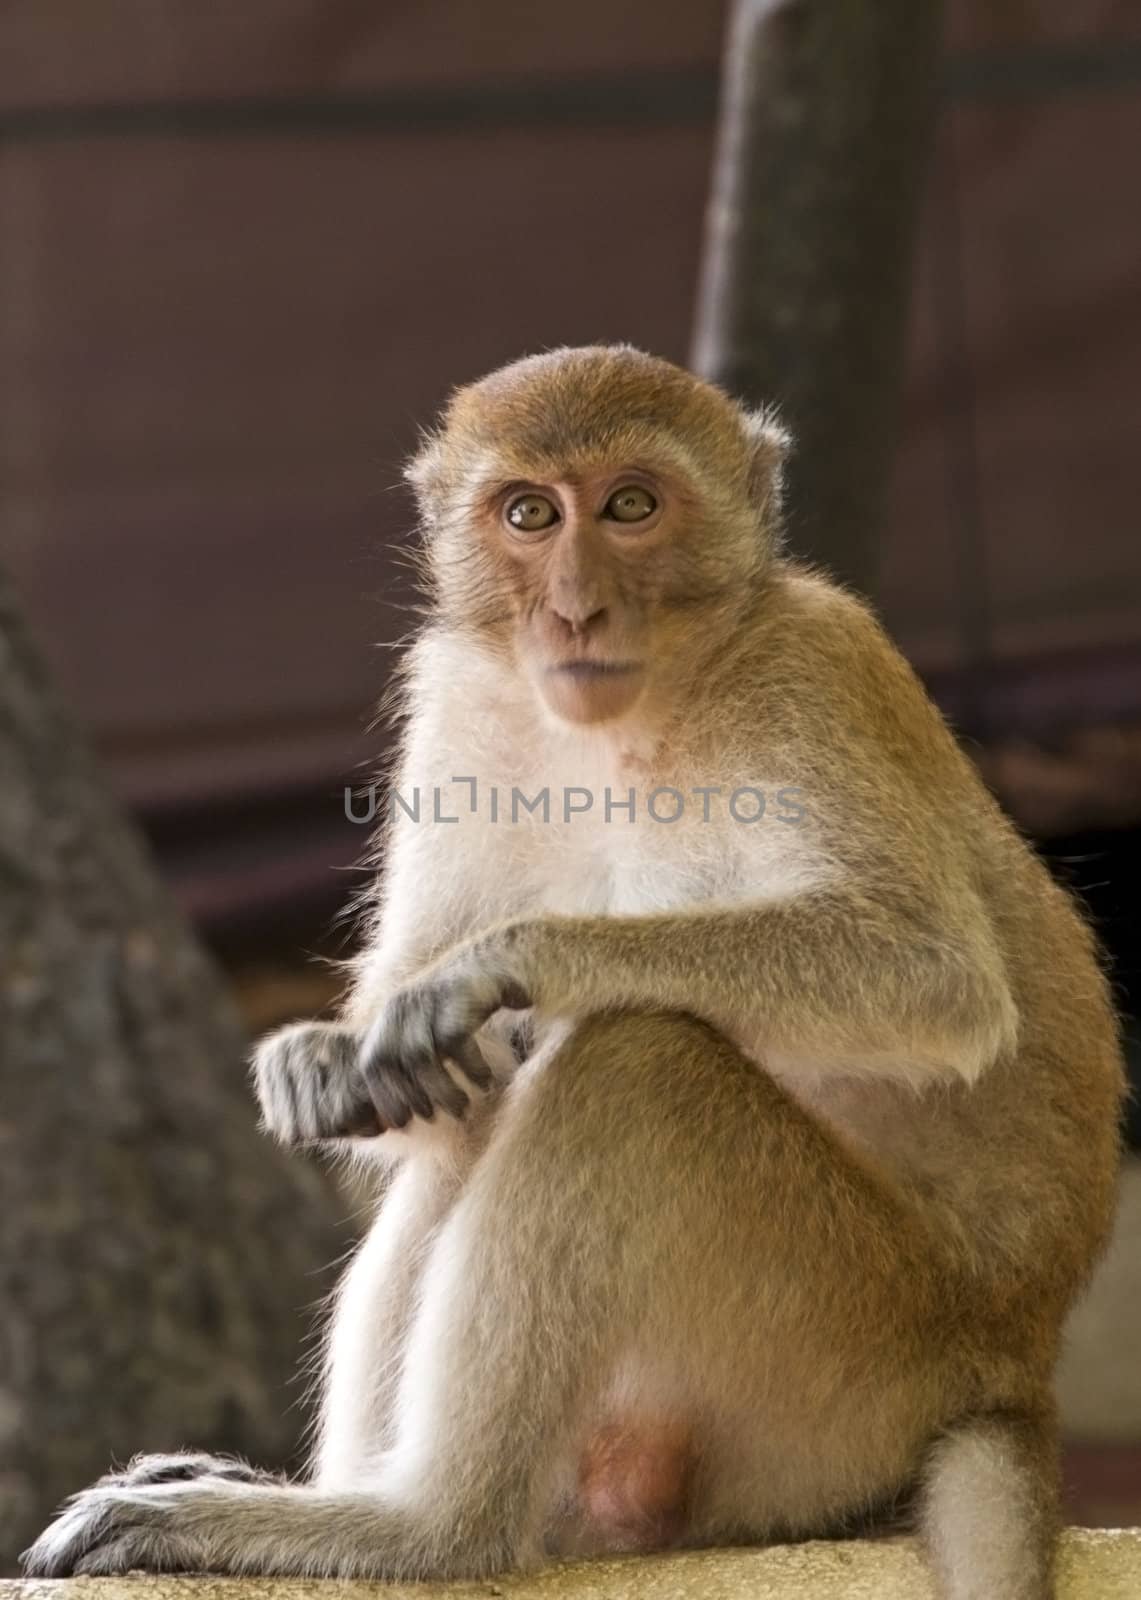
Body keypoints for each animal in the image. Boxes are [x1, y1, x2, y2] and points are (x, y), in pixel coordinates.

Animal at [24, 344, 1120, 1593]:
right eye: (530, 514)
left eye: (631, 506)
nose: (574, 606)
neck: (640, 710)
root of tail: (1007, 1361)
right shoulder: (460, 697)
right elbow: (398, 1066)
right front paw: (319, 1056)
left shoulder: (812, 670)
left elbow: (933, 980)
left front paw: (505, 962)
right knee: (462, 1113)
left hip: (841, 1355)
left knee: (630, 1063)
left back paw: (424, 1529)